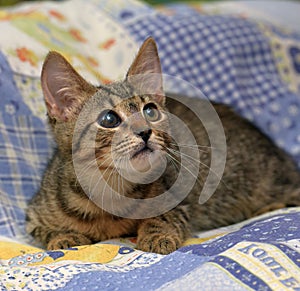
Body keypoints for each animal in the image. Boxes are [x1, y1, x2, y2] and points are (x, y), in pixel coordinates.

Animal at [26, 37, 300, 254]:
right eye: (109, 120)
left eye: (150, 111)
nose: (145, 131)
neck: (111, 191)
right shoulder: (33, 215)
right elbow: (45, 230)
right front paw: (63, 236)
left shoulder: (179, 199)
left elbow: (164, 216)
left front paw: (157, 234)